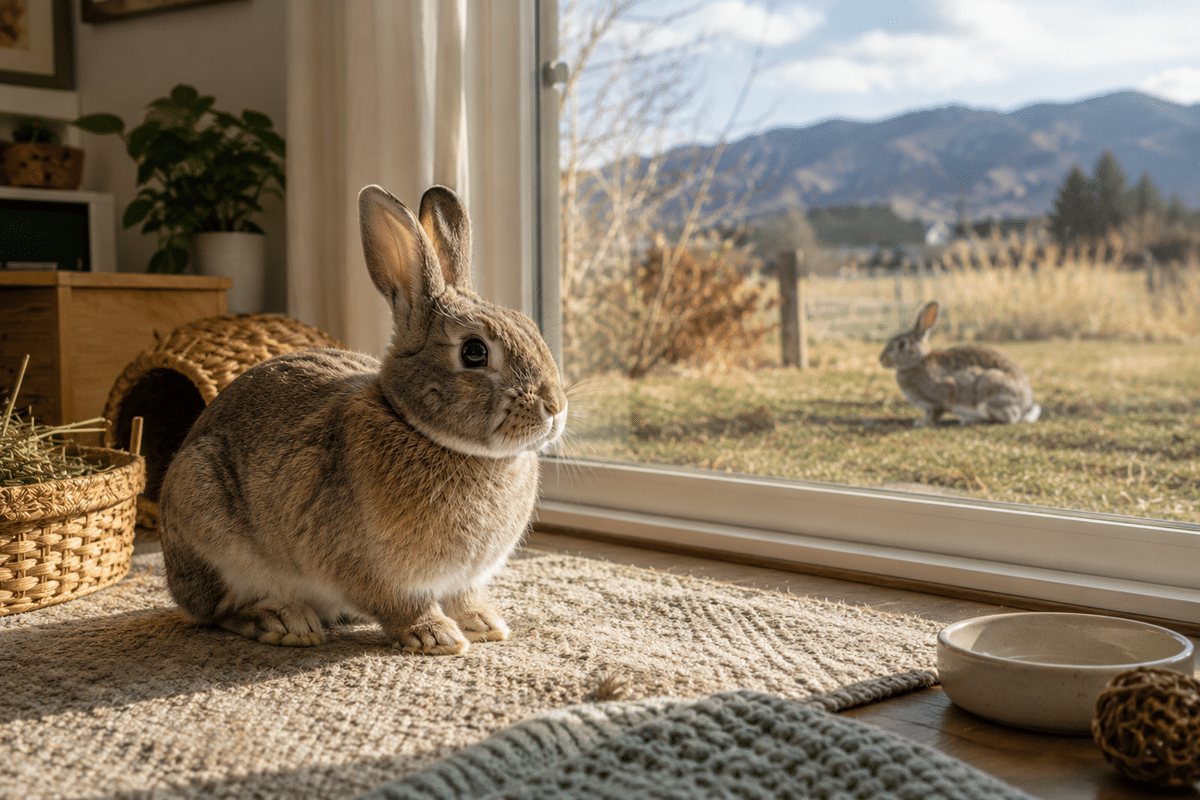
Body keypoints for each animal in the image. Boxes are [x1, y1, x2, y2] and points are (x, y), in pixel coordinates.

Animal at [157, 184, 569, 656]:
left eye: (529, 327)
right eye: (474, 352)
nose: (555, 407)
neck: (420, 428)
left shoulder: (462, 580)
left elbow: (465, 597)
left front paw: (485, 624)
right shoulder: (372, 570)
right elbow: (402, 606)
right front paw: (437, 636)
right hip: (207, 515)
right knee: (220, 611)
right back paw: (285, 621)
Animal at [879, 300, 1040, 427]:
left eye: (902, 345)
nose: (882, 359)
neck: (917, 361)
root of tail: (1024, 406)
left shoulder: (942, 395)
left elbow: (936, 412)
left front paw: (924, 423)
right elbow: (929, 413)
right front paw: (921, 420)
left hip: (990, 388)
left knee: (1009, 418)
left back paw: (971, 420)